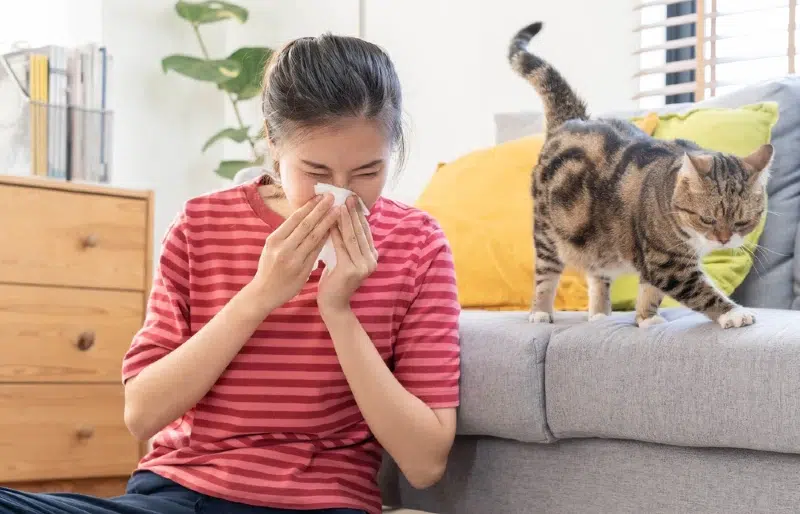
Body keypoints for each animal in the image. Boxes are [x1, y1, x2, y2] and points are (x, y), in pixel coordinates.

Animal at [510, 21, 772, 328]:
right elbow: (700, 291)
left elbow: (650, 291)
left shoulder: (656, 259)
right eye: (707, 219)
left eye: (743, 221)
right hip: (548, 231)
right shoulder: (667, 262)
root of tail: (572, 120)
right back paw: (540, 312)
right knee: (546, 275)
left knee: (597, 275)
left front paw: (647, 318)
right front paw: (734, 313)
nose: (724, 239)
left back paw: (599, 316)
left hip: (596, 238)